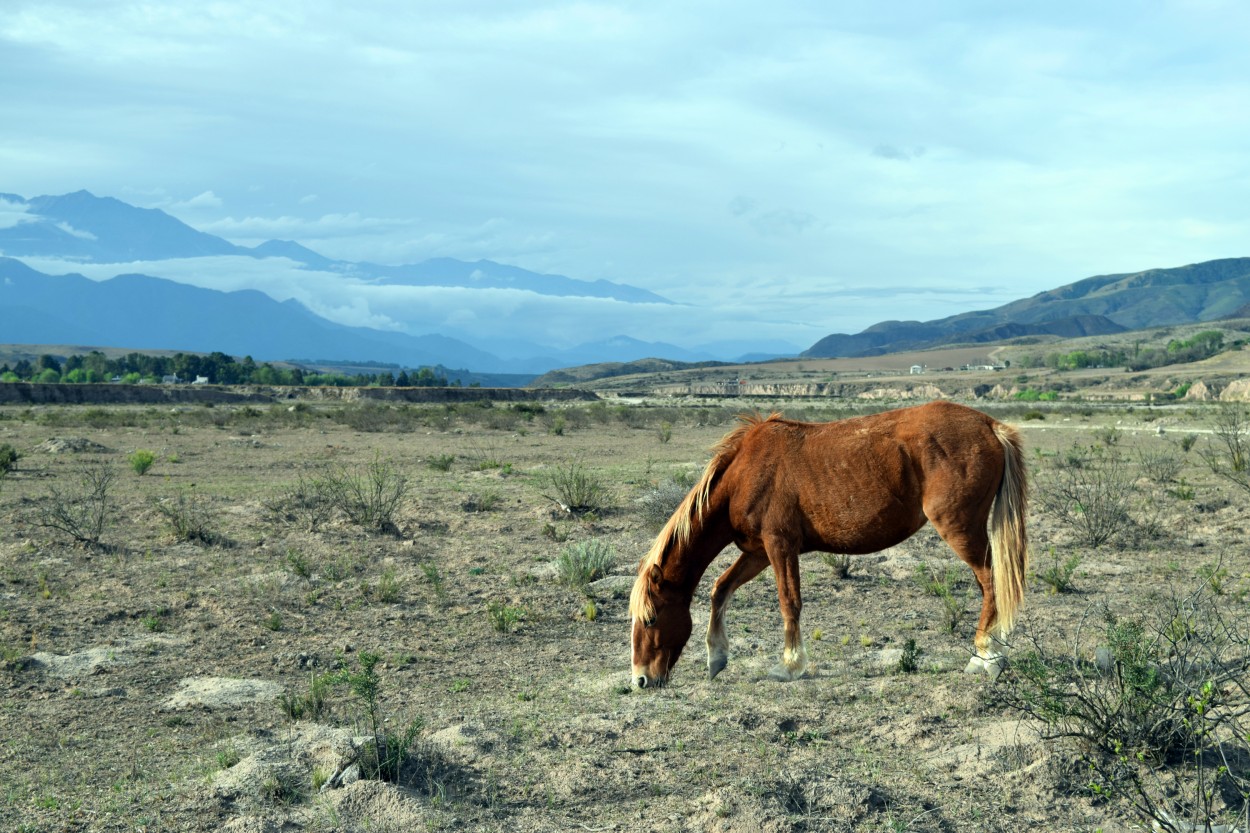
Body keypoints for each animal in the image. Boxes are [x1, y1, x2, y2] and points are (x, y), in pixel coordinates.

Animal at [625, 400, 1025, 685]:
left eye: (651, 618)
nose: (641, 680)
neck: (743, 475)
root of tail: (990, 425)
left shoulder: (780, 546)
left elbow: (789, 602)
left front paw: (789, 665)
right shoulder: (757, 553)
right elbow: (720, 590)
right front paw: (716, 657)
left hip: (960, 529)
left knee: (993, 582)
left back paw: (986, 658)